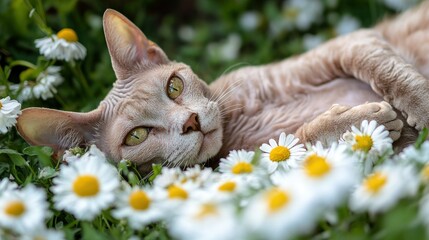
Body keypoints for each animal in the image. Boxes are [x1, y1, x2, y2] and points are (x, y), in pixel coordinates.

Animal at [16, 0, 429, 172]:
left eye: (174, 87)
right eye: (136, 136)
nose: (190, 122)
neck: (240, 119)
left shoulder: (353, 42)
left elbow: (390, 72)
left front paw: (421, 108)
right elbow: (297, 141)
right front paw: (357, 124)